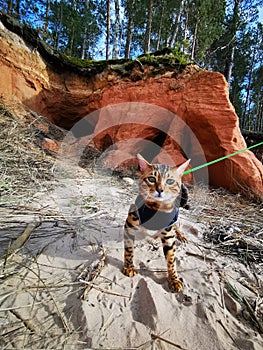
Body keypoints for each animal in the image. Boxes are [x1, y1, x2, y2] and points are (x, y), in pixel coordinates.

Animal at [122, 154, 191, 292]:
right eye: (151, 179)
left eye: (170, 181)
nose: (160, 190)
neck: (155, 209)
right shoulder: (130, 224)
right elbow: (129, 250)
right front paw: (129, 267)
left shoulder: (169, 235)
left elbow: (171, 259)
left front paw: (174, 279)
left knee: (177, 226)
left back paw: (181, 236)